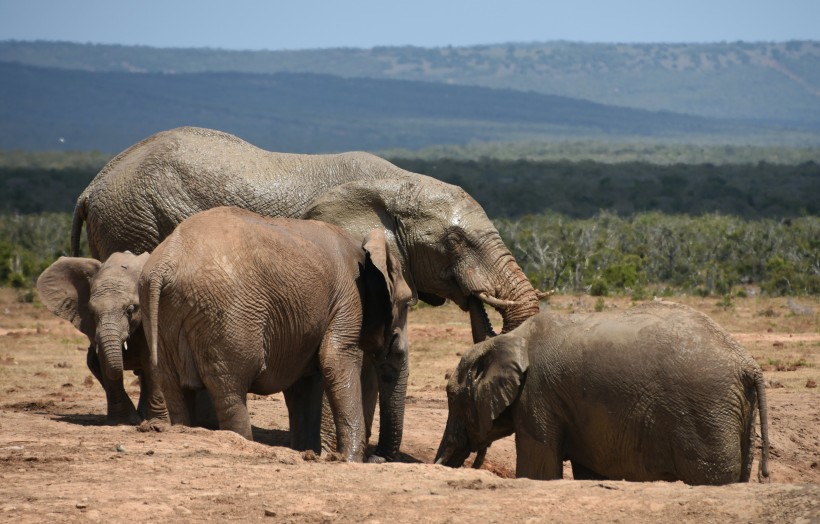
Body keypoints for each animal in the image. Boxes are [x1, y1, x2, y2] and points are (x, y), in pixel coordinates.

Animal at [139, 209, 416, 462]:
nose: (377, 458)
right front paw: (349, 460)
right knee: (230, 392)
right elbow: (335, 361)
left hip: (162, 317)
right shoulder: (348, 298)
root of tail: (165, 264)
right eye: (407, 304)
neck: (365, 251)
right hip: (225, 318)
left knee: (175, 390)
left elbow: (304, 385)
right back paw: (244, 443)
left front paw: (309, 453)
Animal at [436, 300, 768, 486]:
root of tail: (747, 362)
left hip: (706, 411)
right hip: (736, 409)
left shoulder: (538, 394)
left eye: (452, 396)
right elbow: (588, 471)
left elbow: (539, 469)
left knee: (711, 476)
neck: (509, 339)